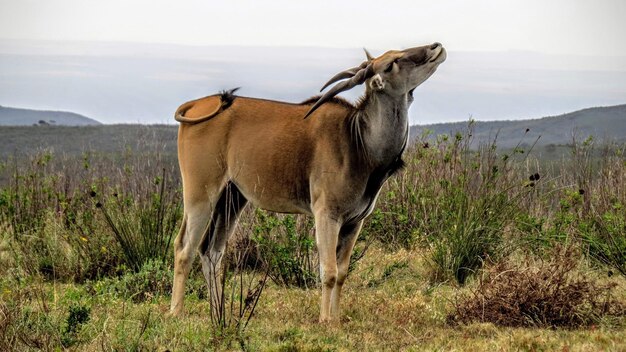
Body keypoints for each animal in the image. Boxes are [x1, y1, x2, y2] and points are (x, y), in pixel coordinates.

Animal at [169, 42, 444, 324]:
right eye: (391, 64)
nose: (435, 47)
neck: (357, 139)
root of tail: (194, 104)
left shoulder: (354, 222)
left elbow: (342, 273)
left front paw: (335, 320)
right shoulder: (326, 215)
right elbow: (329, 271)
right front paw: (324, 320)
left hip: (232, 198)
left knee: (211, 251)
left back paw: (219, 313)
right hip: (201, 194)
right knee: (184, 248)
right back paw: (176, 311)